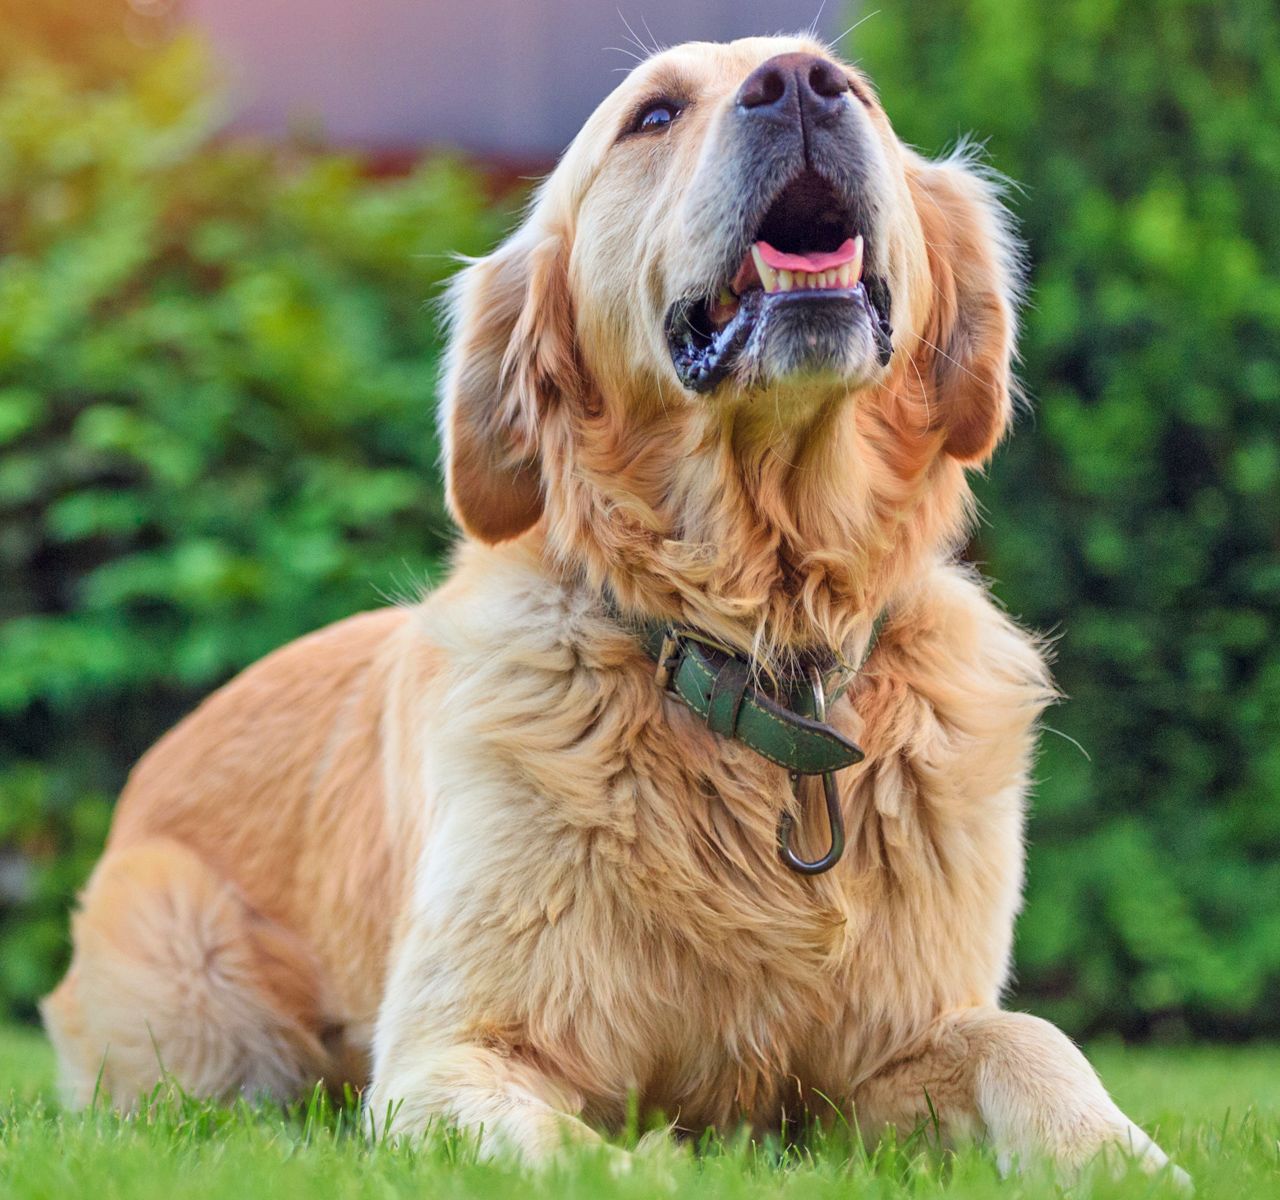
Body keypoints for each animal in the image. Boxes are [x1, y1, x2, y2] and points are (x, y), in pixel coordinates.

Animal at [40, 37, 1182, 1176]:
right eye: (654, 115)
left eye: (857, 89)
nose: (799, 86)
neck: (759, 653)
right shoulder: (447, 1056)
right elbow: (587, 1153)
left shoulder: (894, 1046)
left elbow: (1029, 1040)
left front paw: (1122, 1159)